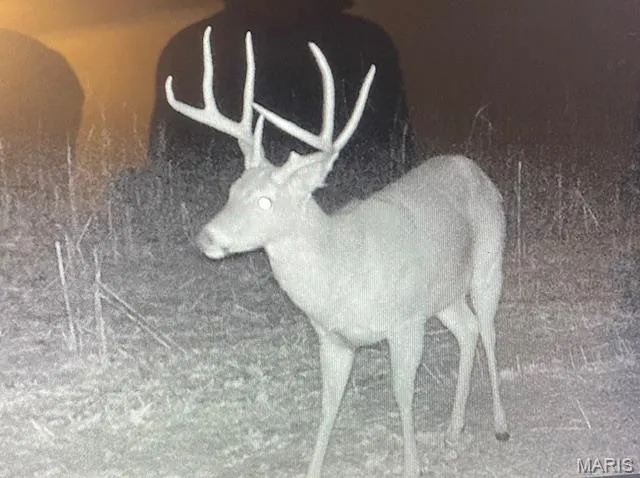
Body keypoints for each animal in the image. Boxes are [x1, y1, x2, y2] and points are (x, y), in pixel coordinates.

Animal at [165, 26, 510, 478]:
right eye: (233, 190)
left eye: (266, 202)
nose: (207, 237)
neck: (342, 269)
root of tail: (473, 168)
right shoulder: (332, 337)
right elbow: (329, 406)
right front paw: (314, 467)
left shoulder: (405, 320)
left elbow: (403, 394)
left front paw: (412, 466)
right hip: (443, 293)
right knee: (467, 330)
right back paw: (454, 433)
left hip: (489, 261)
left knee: (487, 330)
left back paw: (500, 426)